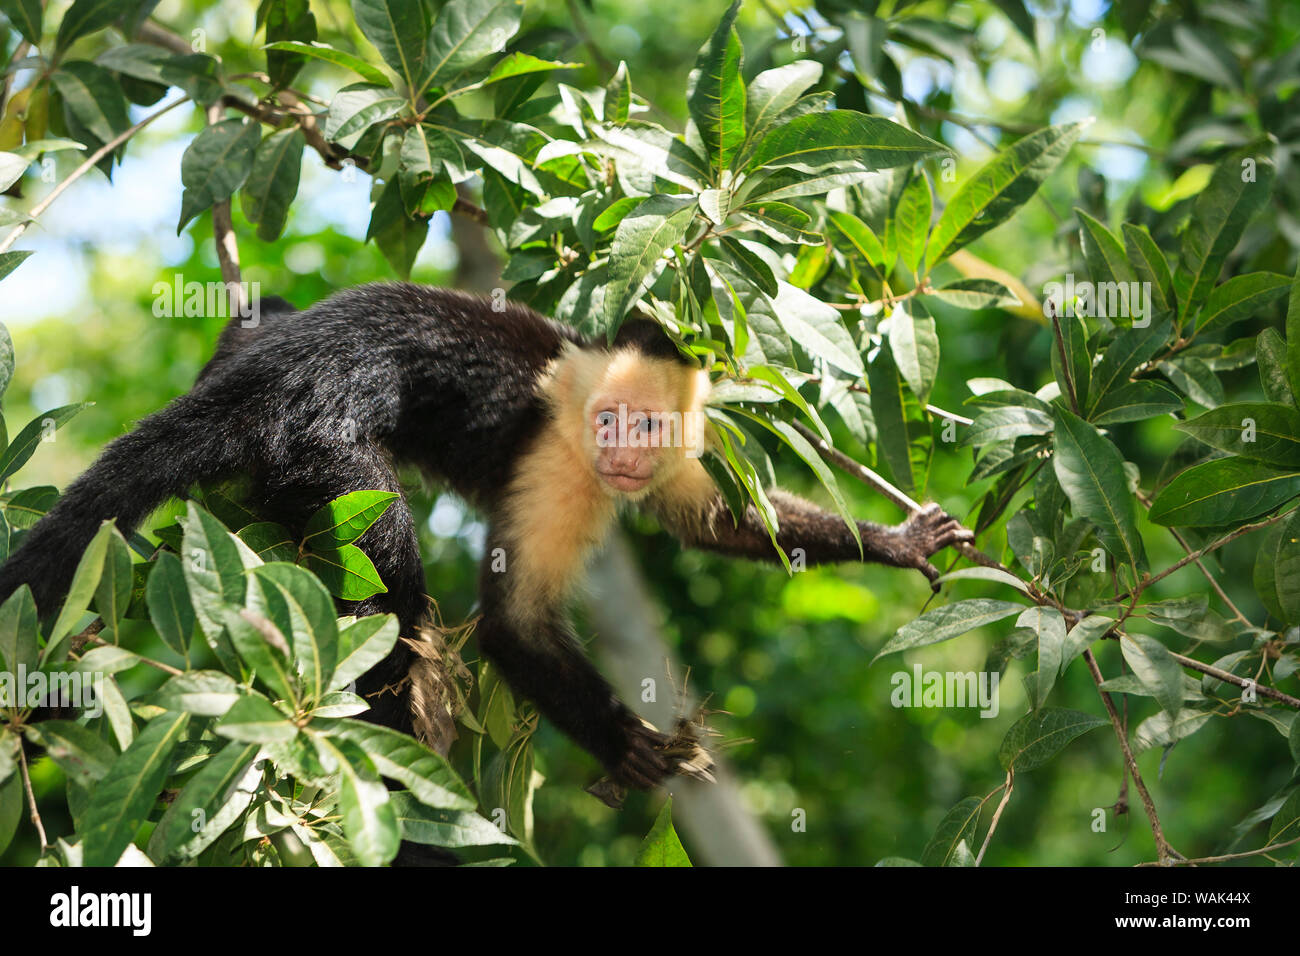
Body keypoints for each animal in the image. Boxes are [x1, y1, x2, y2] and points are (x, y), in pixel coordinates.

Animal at [0, 283, 977, 790]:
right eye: (610, 424)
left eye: (649, 429)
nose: (623, 456)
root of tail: (271, 374)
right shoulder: (559, 459)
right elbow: (515, 620)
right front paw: (627, 744)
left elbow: (715, 519)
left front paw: (899, 542)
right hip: (319, 442)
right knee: (389, 557)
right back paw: (395, 712)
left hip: (259, 364)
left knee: (262, 315)